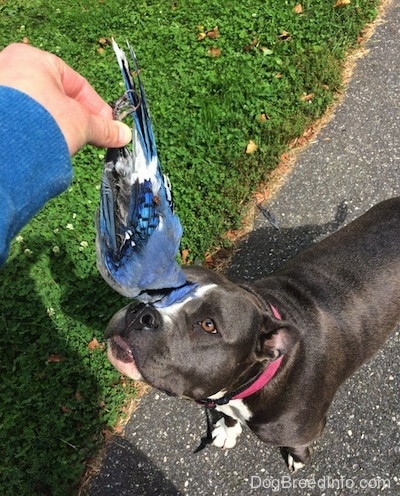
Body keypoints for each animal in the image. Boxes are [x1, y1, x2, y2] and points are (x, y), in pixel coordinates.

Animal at [106, 197, 400, 468]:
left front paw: (297, 459)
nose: (141, 313)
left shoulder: (305, 431)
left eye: (208, 325)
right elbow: (228, 415)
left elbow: (297, 446)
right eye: (160, 290)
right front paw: (228, 429)